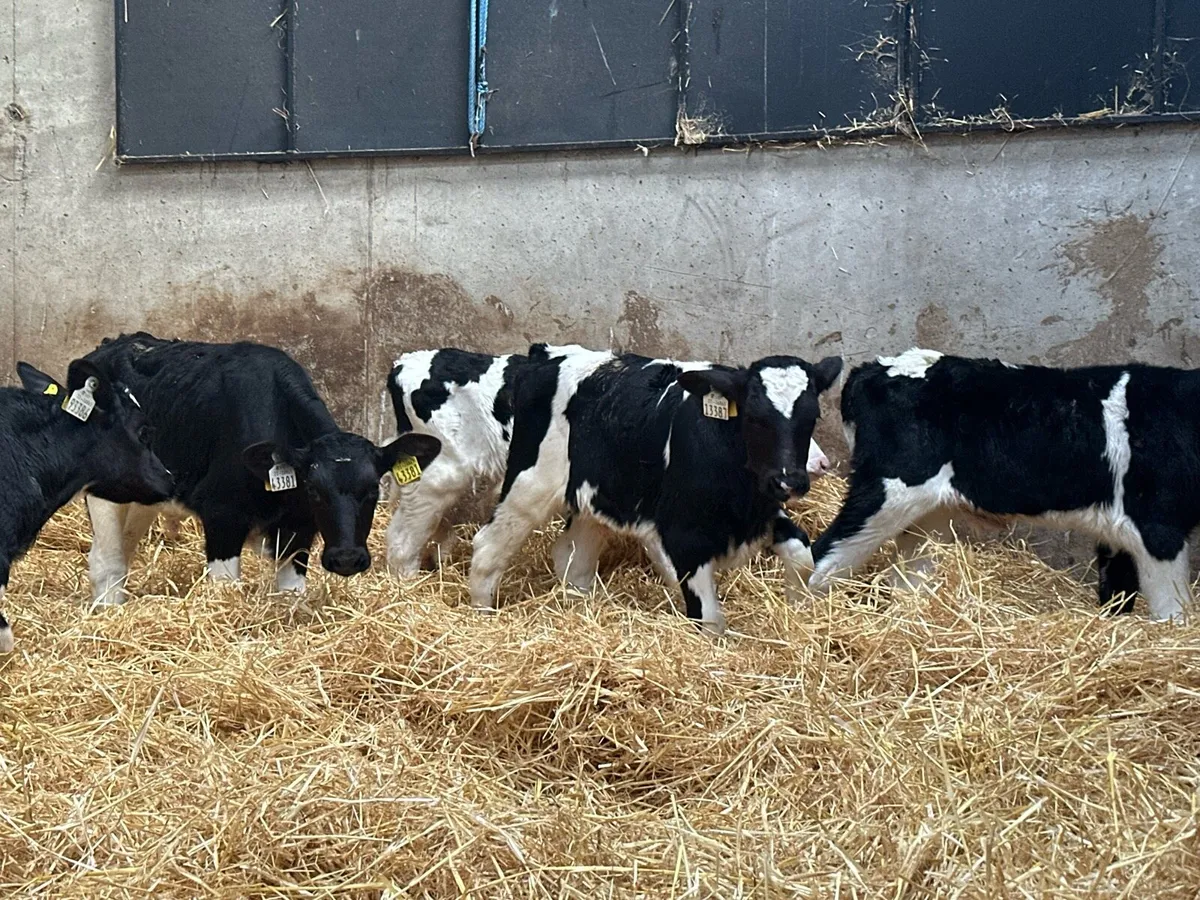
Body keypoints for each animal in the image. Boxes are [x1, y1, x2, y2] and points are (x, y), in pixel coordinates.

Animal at [25, 333, 441, 605]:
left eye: (373, 490)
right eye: (315, 489)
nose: (347, 559)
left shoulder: (299, 527)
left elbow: (290, 592)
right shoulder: (222, 515)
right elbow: (225, 589)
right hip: (105, 491)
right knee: (105, 560)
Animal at [467, 344, 843, 634]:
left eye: (812, 417)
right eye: (753, 417)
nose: (789, 480)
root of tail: (545, 354)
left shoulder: (760, 514)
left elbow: (801, 552)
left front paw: (798, 610)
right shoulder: (684, 537)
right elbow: (709, 619)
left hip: (598, 495)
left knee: (573, 559)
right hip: (530, 485)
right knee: (488, 547)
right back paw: (482, 616)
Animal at [809, 348, 1194, 623]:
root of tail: (871, 368)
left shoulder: (1118, 535)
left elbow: (1117, 593)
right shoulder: (1158, 527)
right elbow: (1173, 610)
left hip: (926, 513)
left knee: (907, 577)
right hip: (888, 492)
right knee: (825, 553)